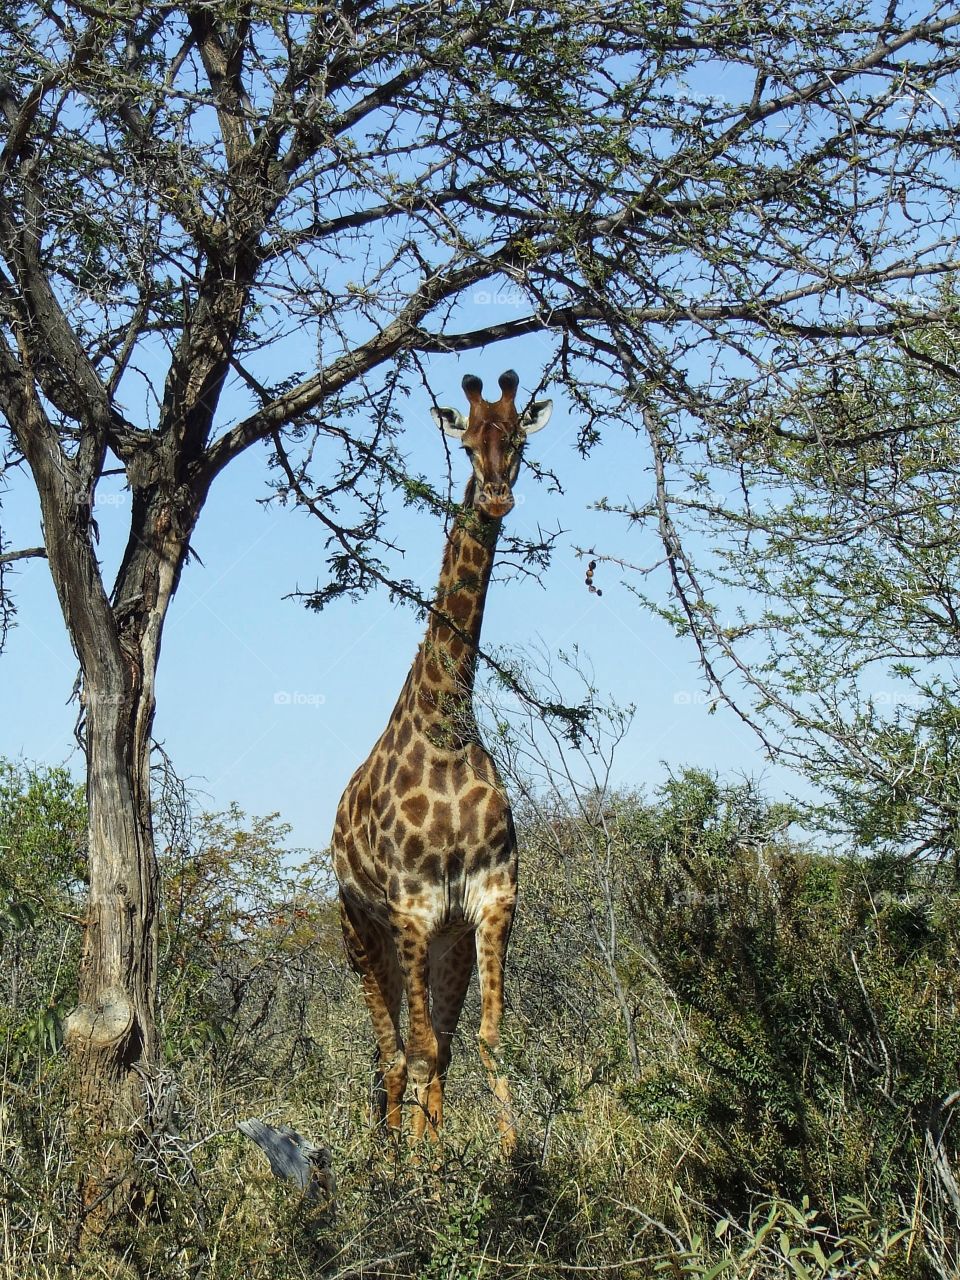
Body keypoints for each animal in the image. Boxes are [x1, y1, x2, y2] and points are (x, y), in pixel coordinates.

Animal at [331, 369, 552, 1152]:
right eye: (466, 441)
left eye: (517, 438)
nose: (496, 495)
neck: (446, 730)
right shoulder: (411, 908)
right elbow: (422, 1048)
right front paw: (421, 1173)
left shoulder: (490, 900)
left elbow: (485, 1042)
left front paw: (512, 1162)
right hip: (362, 931)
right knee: (393, 1051)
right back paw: (392, 1157)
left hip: (435, 940)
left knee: (427, 1050)